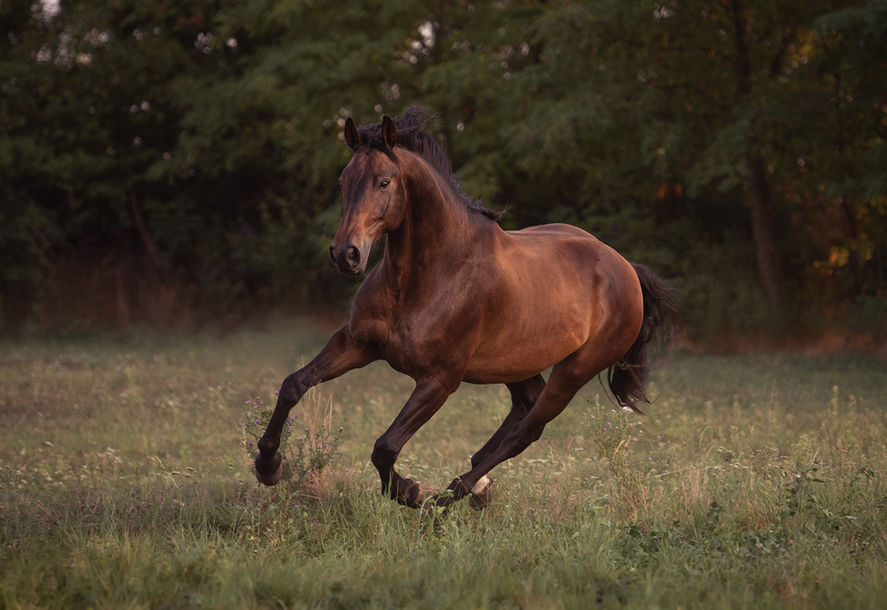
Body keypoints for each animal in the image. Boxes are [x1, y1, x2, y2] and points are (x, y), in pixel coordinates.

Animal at [254, 107, 675, 512]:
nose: (346, 254)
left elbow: (385, 447)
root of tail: (626, 268)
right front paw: (268, 466)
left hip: (574, 371)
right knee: (523, 410)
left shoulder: (439, 380)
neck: (428, 277)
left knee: (528, 430)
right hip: (517, 364)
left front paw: (410, 491)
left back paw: (448, 498)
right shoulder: (357, 343)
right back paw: (478, 485)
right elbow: (294, 384)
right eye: (344, 180)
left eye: (384, 182)